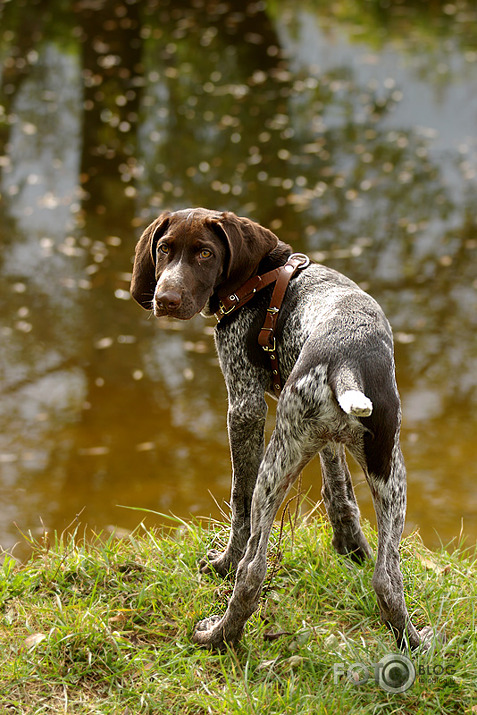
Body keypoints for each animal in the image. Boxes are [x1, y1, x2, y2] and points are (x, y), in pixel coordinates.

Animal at [129, 208, 428, 656]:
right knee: (388, 580)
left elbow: (239, 500)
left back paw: (220, 637)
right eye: (164, 249)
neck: (262, 279)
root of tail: (346, 362)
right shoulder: (325, 439)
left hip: (277, 461)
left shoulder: (244, 406)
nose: (165, 300)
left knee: (253, 568)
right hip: (390, 469)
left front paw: (222, 564)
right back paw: (415, 643)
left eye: (204, 253)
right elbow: (339, 490)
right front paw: (350, 547)